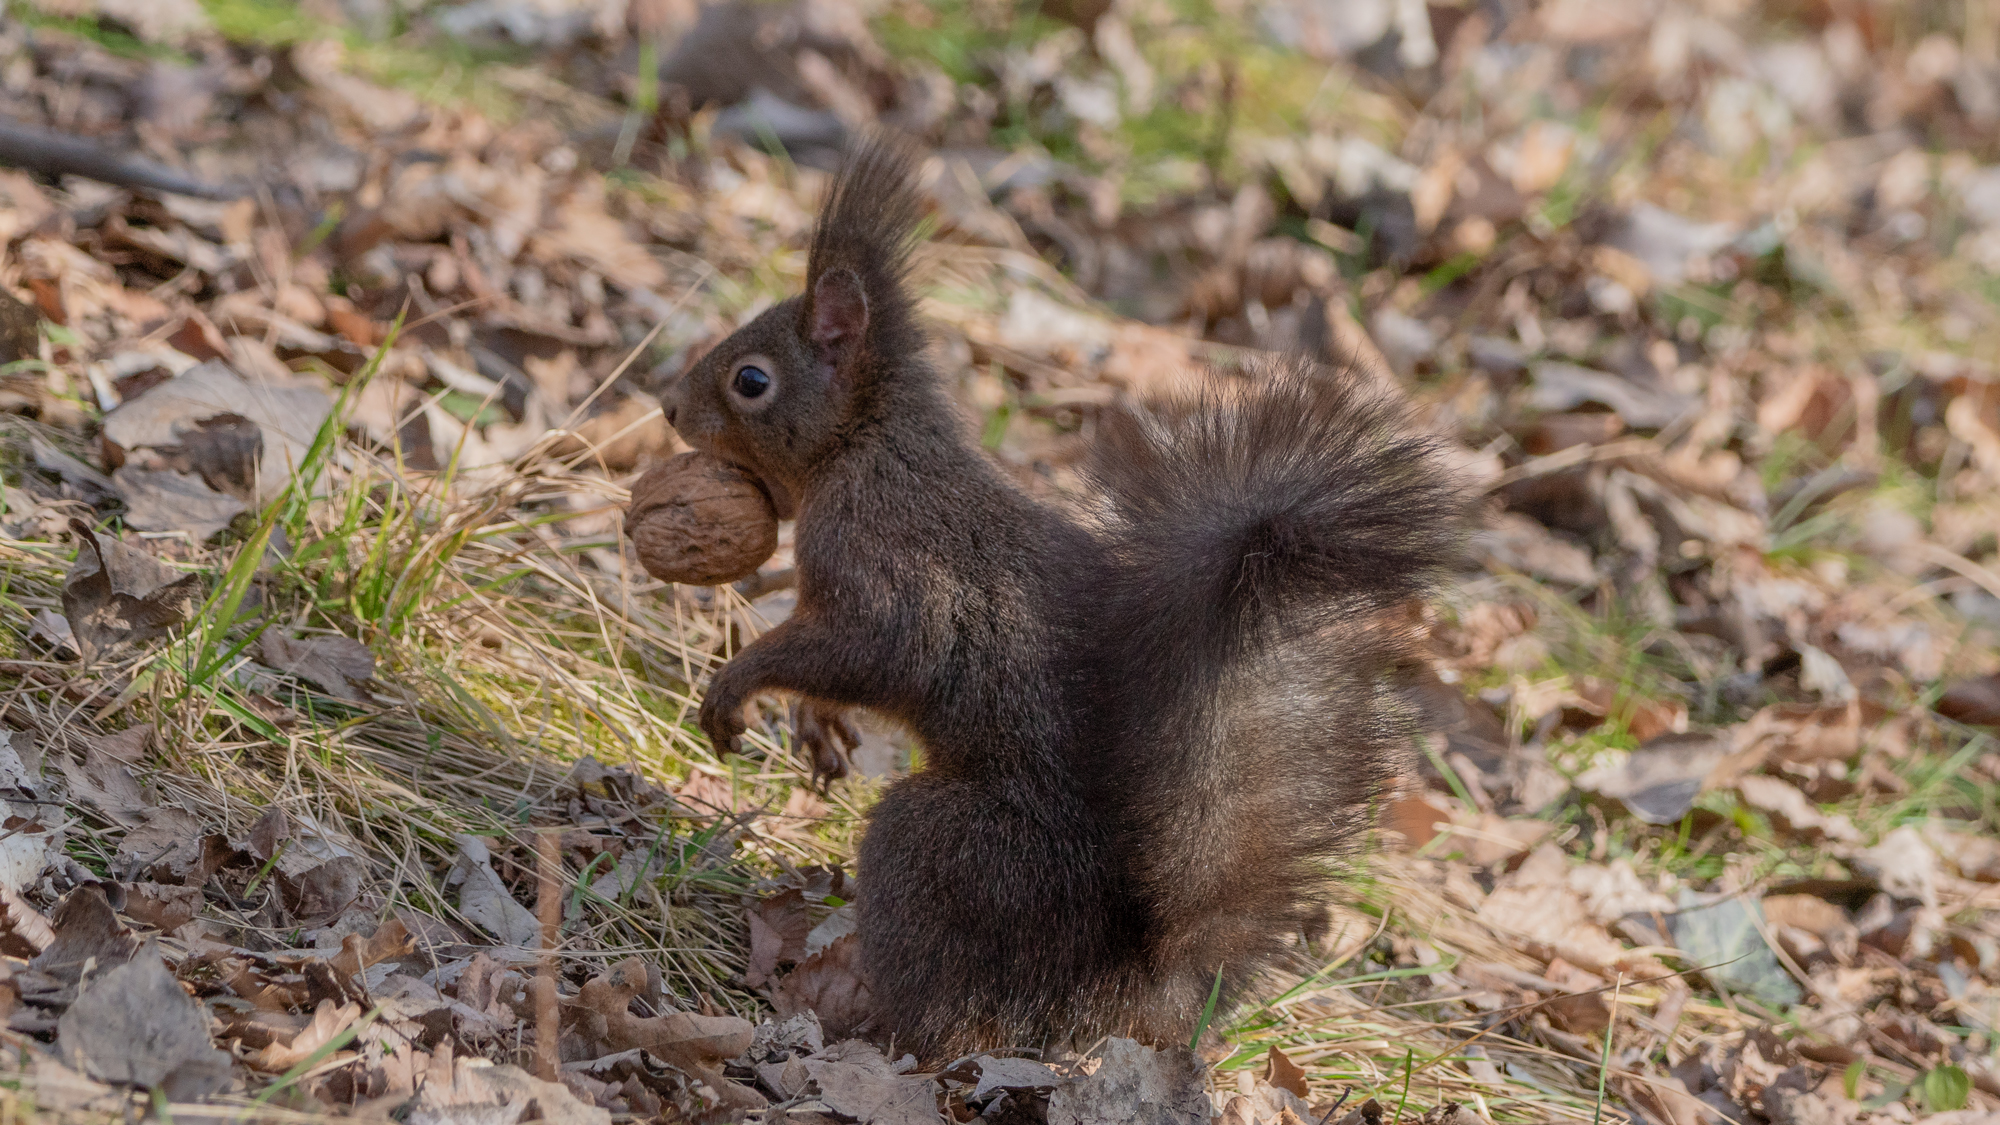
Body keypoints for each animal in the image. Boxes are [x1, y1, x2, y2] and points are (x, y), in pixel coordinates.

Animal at [660, 136, 1466, 1061]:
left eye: (750, 380)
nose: (669, 405)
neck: (867, 443)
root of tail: (1130, 988)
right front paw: (818, 726)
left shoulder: (884, 563)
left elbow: (866, 648)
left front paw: (738, 685)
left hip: (945, 853)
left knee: (946, 1016)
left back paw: (859, 1021)